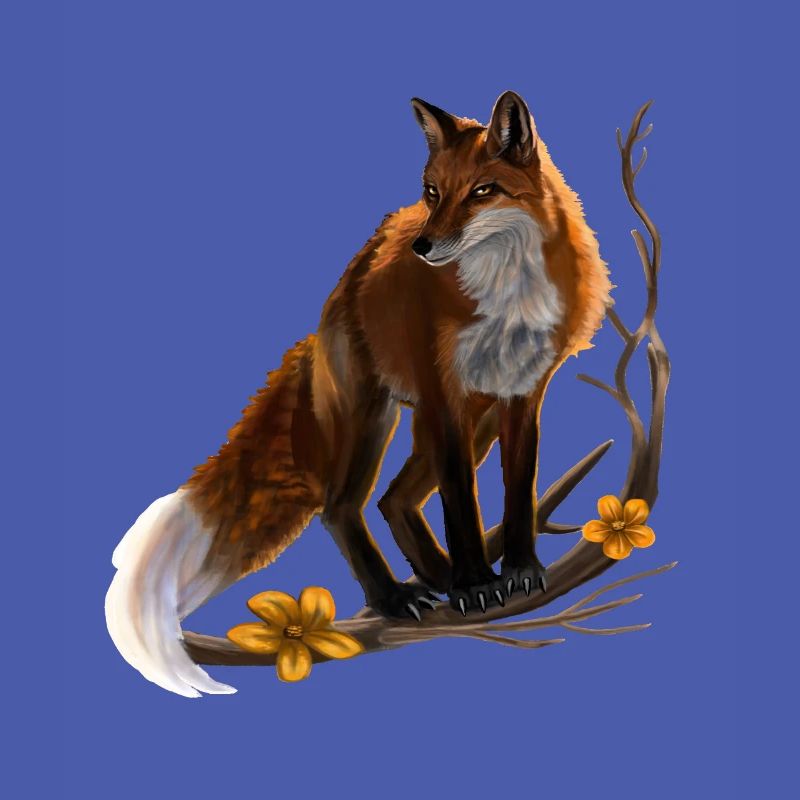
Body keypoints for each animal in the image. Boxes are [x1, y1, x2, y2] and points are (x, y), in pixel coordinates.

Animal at [105, 91, 612, 697]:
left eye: (482, 191)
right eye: (433, 192)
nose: (422, 247)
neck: (506, 293)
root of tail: (345, 284)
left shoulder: (522, 395)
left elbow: (517, 492)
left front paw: (518, 571)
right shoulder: (444, 397)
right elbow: (462, 505)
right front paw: (473, 584)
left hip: (471, 418)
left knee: (393, 499)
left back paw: (435, 575)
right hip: (375, 419)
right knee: (341, 507)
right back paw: (396, 595)